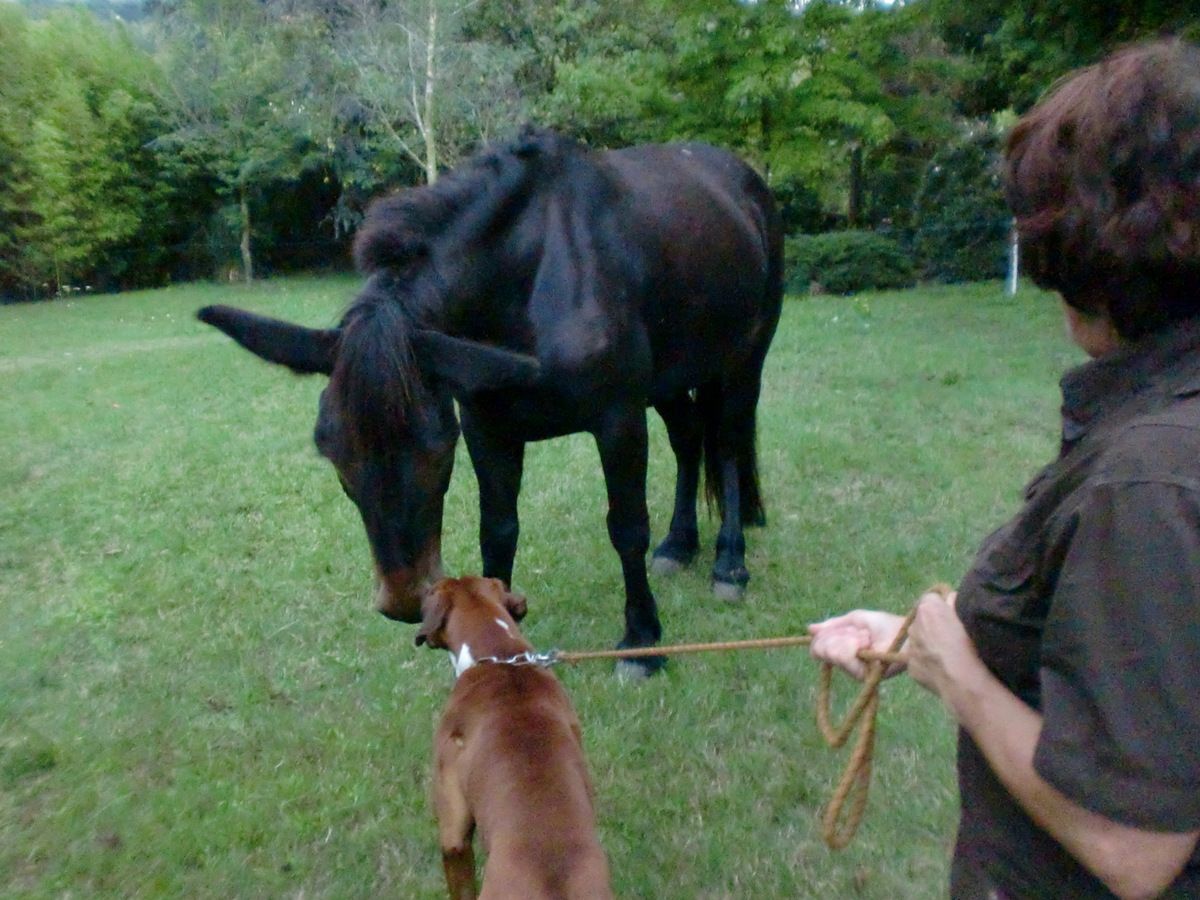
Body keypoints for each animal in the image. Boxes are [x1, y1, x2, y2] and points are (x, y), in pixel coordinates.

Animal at [201, 130, 782, 672]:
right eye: (333, 451)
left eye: (437, 449)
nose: (404, 598)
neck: (533, 277)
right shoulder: (488, 427)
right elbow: (498, 532)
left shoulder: (618, 420)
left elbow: (627, 527)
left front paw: (642, 642)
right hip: (669, 381)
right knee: (688, 440)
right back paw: (679, 545)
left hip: (742, 363)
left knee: (727, 446)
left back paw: (729, 565)